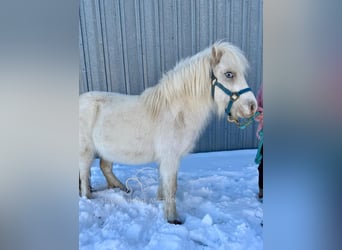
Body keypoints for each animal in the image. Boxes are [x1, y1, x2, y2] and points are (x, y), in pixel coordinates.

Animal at [79, 42, 256, 224]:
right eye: (229, 74)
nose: (252, 106)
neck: (176, 113)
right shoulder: (170, 158)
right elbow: (172, 187)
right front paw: (172, 219)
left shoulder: (166, 158)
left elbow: (163, 182)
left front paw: (160, 200)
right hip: (85, 151)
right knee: (85, 175)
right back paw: (89, 197)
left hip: (106, 150)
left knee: (105, 167)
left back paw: (122, 189)